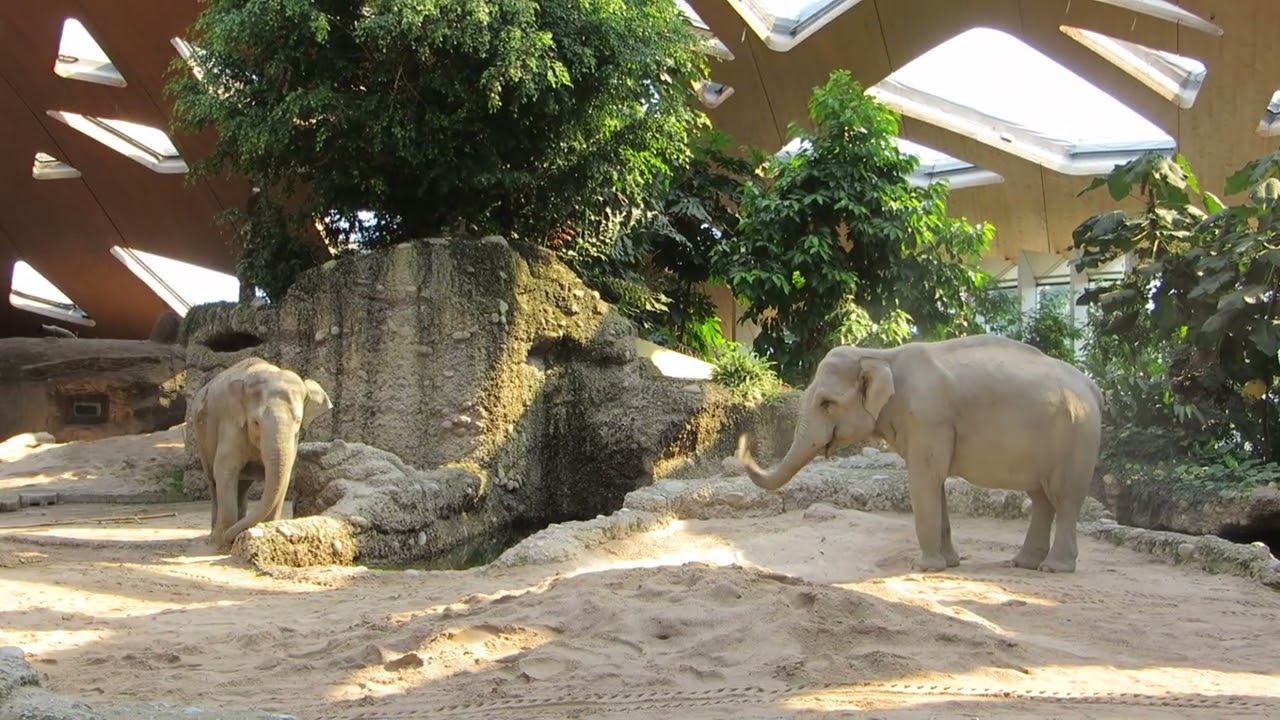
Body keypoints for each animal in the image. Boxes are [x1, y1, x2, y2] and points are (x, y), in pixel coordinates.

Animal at [190, 357, 333, 550]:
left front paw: (268, 530)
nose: (229, 539)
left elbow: (285, 475)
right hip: (202, 438)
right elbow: (224, 470)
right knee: (213, 480)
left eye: (297, 421)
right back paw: (214, 538)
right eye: (256, 423)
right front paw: (223, 545)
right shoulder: (231, 424)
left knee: (242, 487)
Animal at [736, 334, 1103, 573]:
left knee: (1064, 497)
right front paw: (948, 564)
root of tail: (1092, 386)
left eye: (827, 403)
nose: (744, 440)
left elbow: (924, 479)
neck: (881, 355)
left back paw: (1053, 569)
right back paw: (1024, 564)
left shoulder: (929, 418)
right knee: (1041, 497)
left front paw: (923, 567)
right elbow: (934, 483)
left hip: (1078, 437)